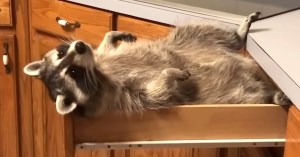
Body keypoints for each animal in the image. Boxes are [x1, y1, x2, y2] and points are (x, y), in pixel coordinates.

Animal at [22, 12, 290, 116]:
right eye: (74, 72)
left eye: (60, 52)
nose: (78, 46)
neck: (97, 71)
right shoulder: (121, 97)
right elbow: (158, 91)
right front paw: (168, 72)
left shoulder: (101, 57)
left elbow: (105, 46)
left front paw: (112, 35)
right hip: (235, 97)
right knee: (254, 96)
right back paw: (271, 95)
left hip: (190, 39)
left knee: (204, 31)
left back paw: (239, 34)